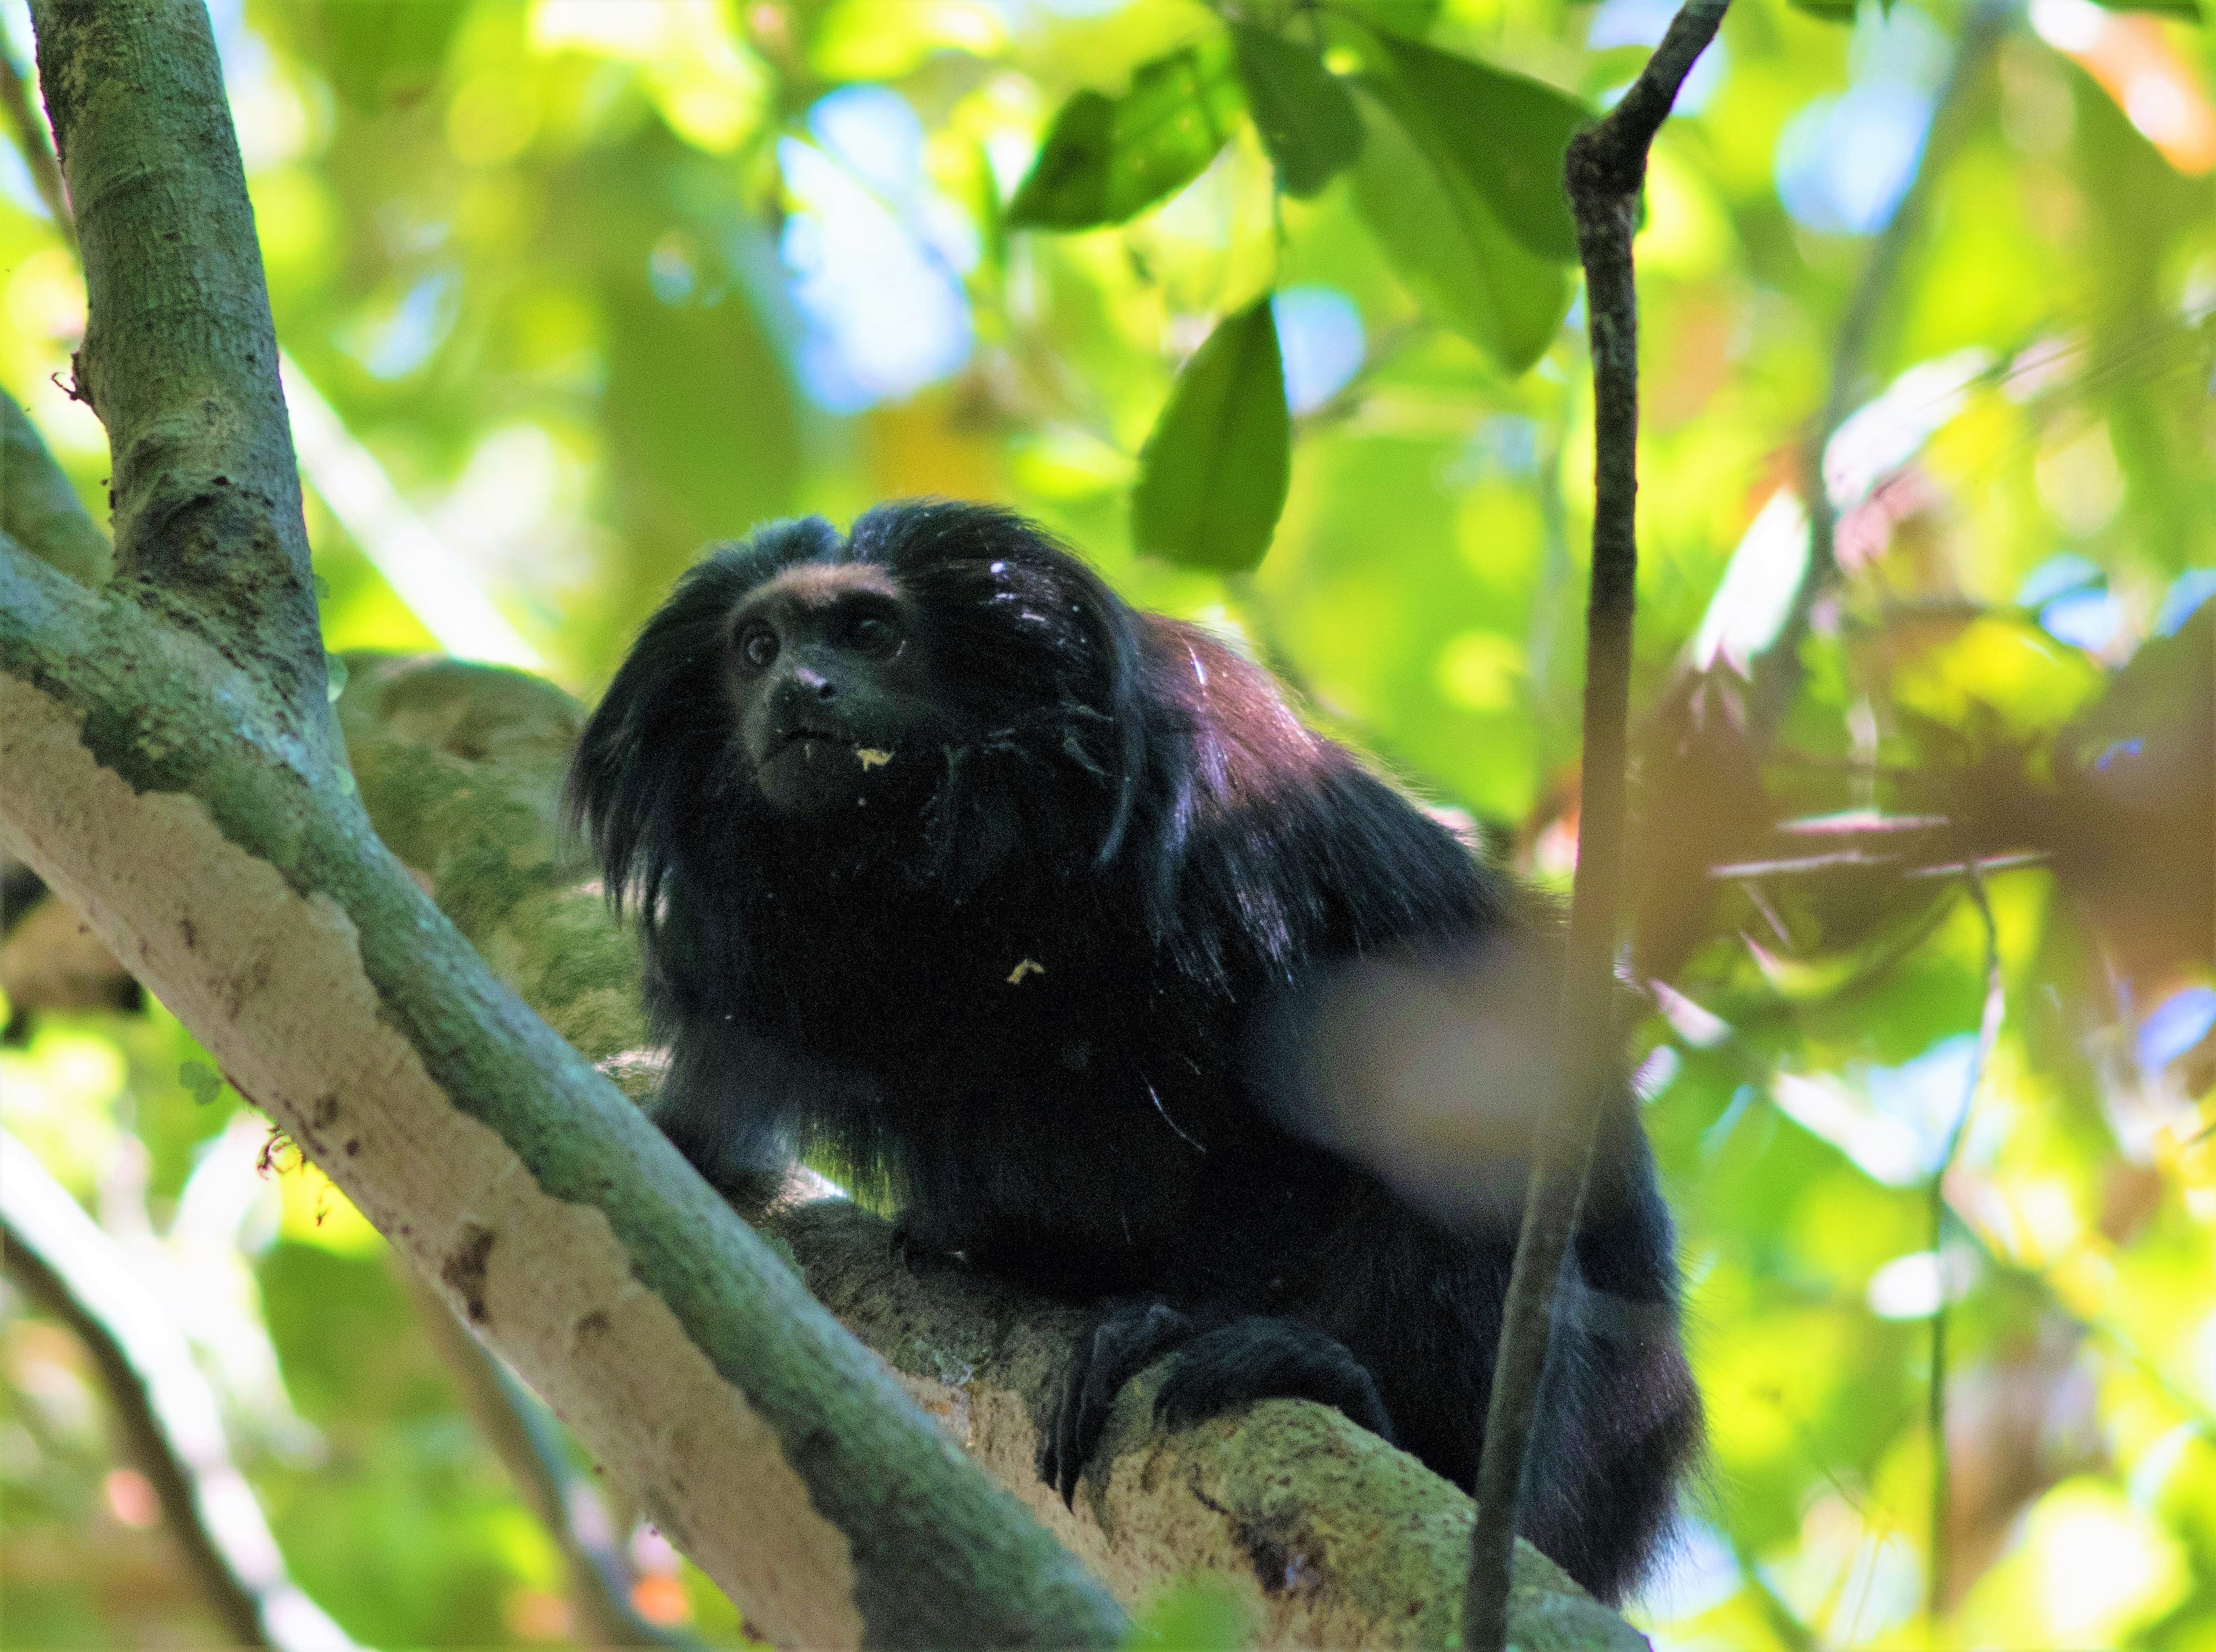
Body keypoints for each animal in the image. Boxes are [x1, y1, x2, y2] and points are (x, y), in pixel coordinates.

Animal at [567, 498, 1693, 1594]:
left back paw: (1365, 1398)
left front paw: (1178, 1320)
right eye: (757, 647)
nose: (801, 685)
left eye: (869, 632)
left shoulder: (1218, 828)